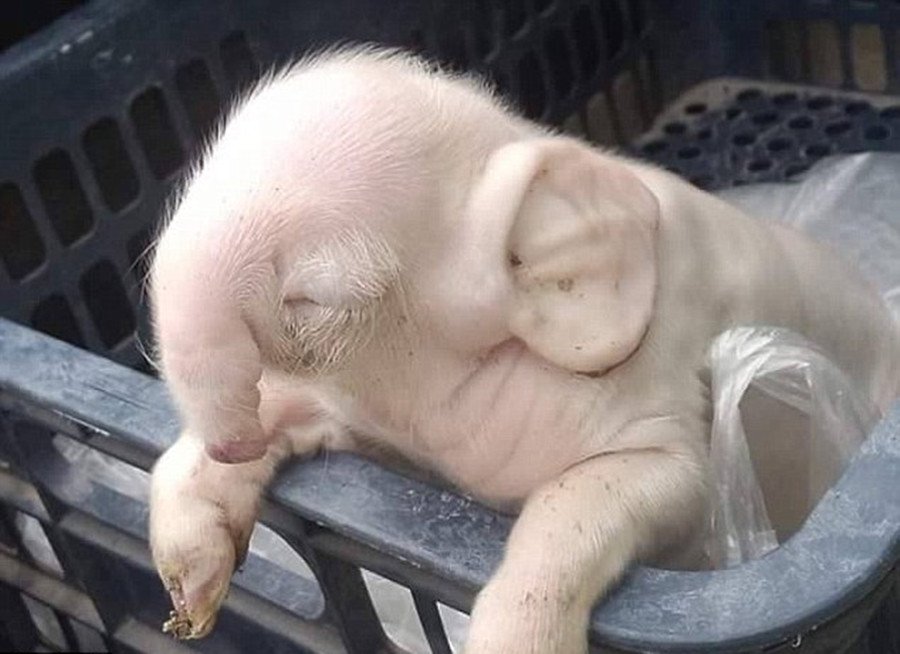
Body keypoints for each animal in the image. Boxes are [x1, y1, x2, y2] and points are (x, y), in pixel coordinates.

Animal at [147, 46, 900, 653]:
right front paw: (188, 604)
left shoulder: (668, 442)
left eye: (312, 293)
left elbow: (573, 503)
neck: (424, 424)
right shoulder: (355, 420)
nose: (234, 440)